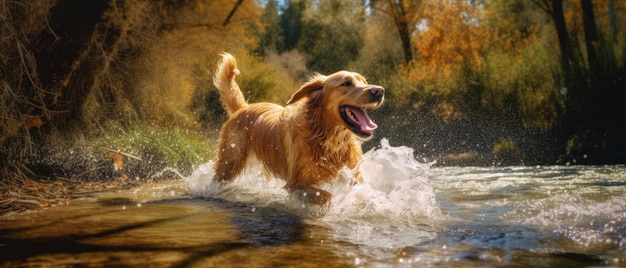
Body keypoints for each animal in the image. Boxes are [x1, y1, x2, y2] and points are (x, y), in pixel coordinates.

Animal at [212, 52, 382, 205]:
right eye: (346, 83)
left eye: (364, 81)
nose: (379, 91)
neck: (326, 136)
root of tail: (244, 108)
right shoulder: (297, 185)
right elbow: (327, 196)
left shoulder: (354, 174)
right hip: (230, 162)